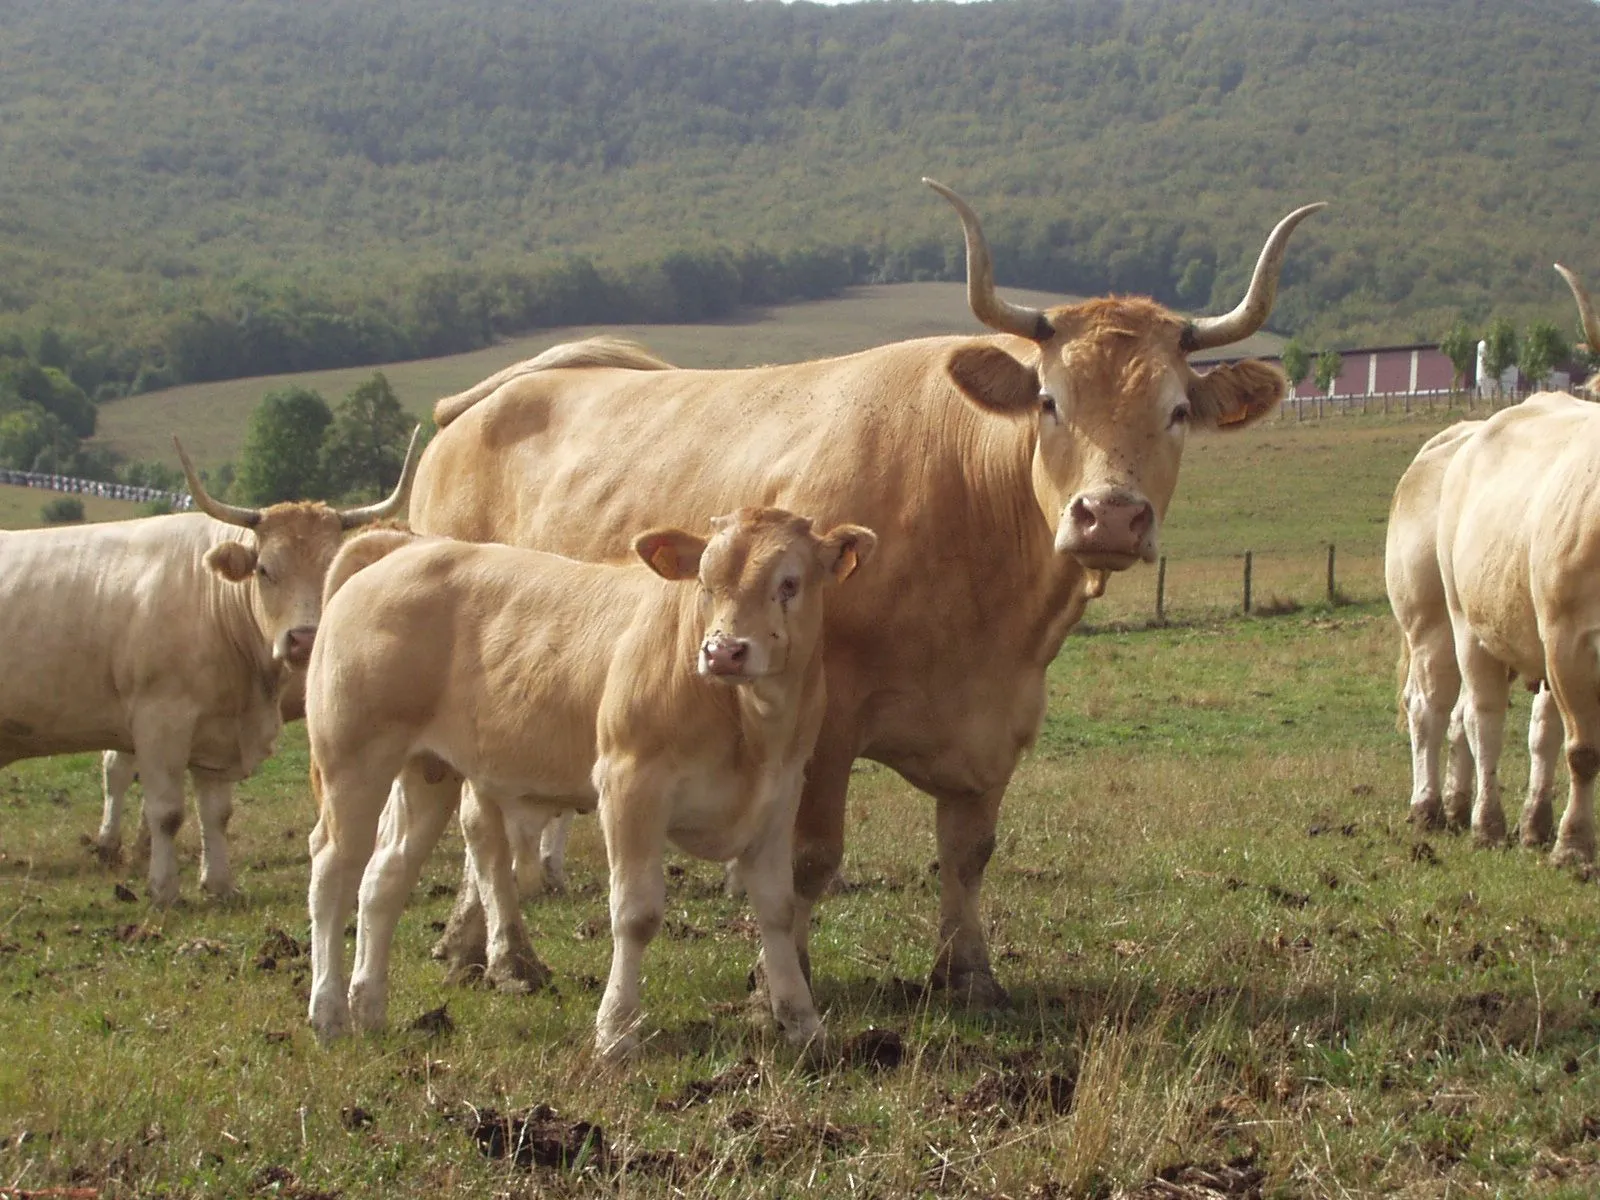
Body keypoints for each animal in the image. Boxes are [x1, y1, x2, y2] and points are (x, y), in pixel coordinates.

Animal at [0, 432, 419, 902]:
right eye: (264, 569)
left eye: (333, 567)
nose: (305, 639)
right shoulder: (159, 722)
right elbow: (166, 811)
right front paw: (164, 889)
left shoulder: (218, 733)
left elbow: (217, 812)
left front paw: (218, 884)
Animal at [300, 512, 876, 1056]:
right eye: (705, 581)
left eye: (789, 582)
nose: (723, 651)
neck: (748, 725)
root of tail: (406, 550)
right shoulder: (630, 783)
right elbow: (636, 914)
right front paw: (616, 1032)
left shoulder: (778, 796)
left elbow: (778, 910)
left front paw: (804, 1026)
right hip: (353, 761)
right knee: (332, 871)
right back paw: (328, 1013)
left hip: (426, 771)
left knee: (384, 878)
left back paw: (369, 1007)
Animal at [403, 178, 1324, 1004]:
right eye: (1049, 402)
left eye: (1177, 411)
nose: (1110, 516)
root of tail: (487, 402)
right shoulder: (828, 716)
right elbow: (812, 859)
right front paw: (784, 978)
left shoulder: (1002, 720)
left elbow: (969, 852)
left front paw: (968, 972)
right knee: (481, 821)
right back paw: (505, 954)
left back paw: (469, 945)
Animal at [1433, 262, 1600, 864]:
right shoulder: (1570, 640)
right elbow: (1585, 751)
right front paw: (1574, 849)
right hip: (1468, 624)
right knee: (1481, 719)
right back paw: (1487, 823)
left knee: (1540, 733)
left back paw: (1533, 823)